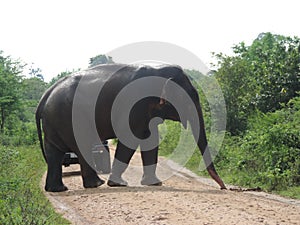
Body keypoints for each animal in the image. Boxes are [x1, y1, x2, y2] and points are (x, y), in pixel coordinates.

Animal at [35, 63, 227, 192]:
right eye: (189, 99)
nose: (224, 187)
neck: (158, 70)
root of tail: (45, 95)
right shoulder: (134, 104)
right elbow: (129, 138)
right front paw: (117, 184)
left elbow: (150, 139)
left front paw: (155, 183)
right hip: (69, 118)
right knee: (80, 146)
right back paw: (97, 184)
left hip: (55, 120)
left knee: (54, 152)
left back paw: (58, 189)